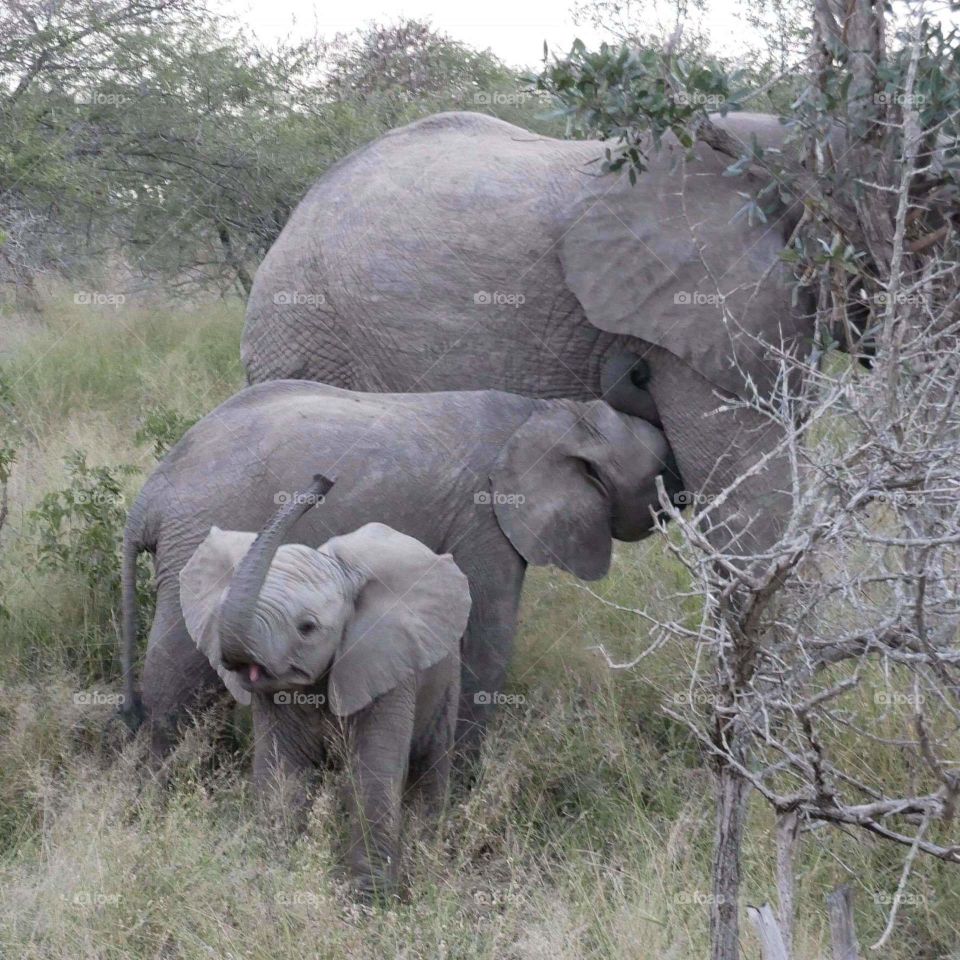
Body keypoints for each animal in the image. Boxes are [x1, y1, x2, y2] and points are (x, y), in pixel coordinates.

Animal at [120, 379, 680, 761]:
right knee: (177, 670)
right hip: (196, 536)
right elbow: (485, 638)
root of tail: (149, 498)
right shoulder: (484, 520)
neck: (554, 413)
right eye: (663, 474)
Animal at [178, 475, 472, 897]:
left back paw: (428, 855)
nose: (323, 480)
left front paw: (369, 899)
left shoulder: (386, 662)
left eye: (308, 627)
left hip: (447, 672)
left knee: (431, 764)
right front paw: (272, 873)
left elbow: (373, 771)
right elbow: (283, 769)